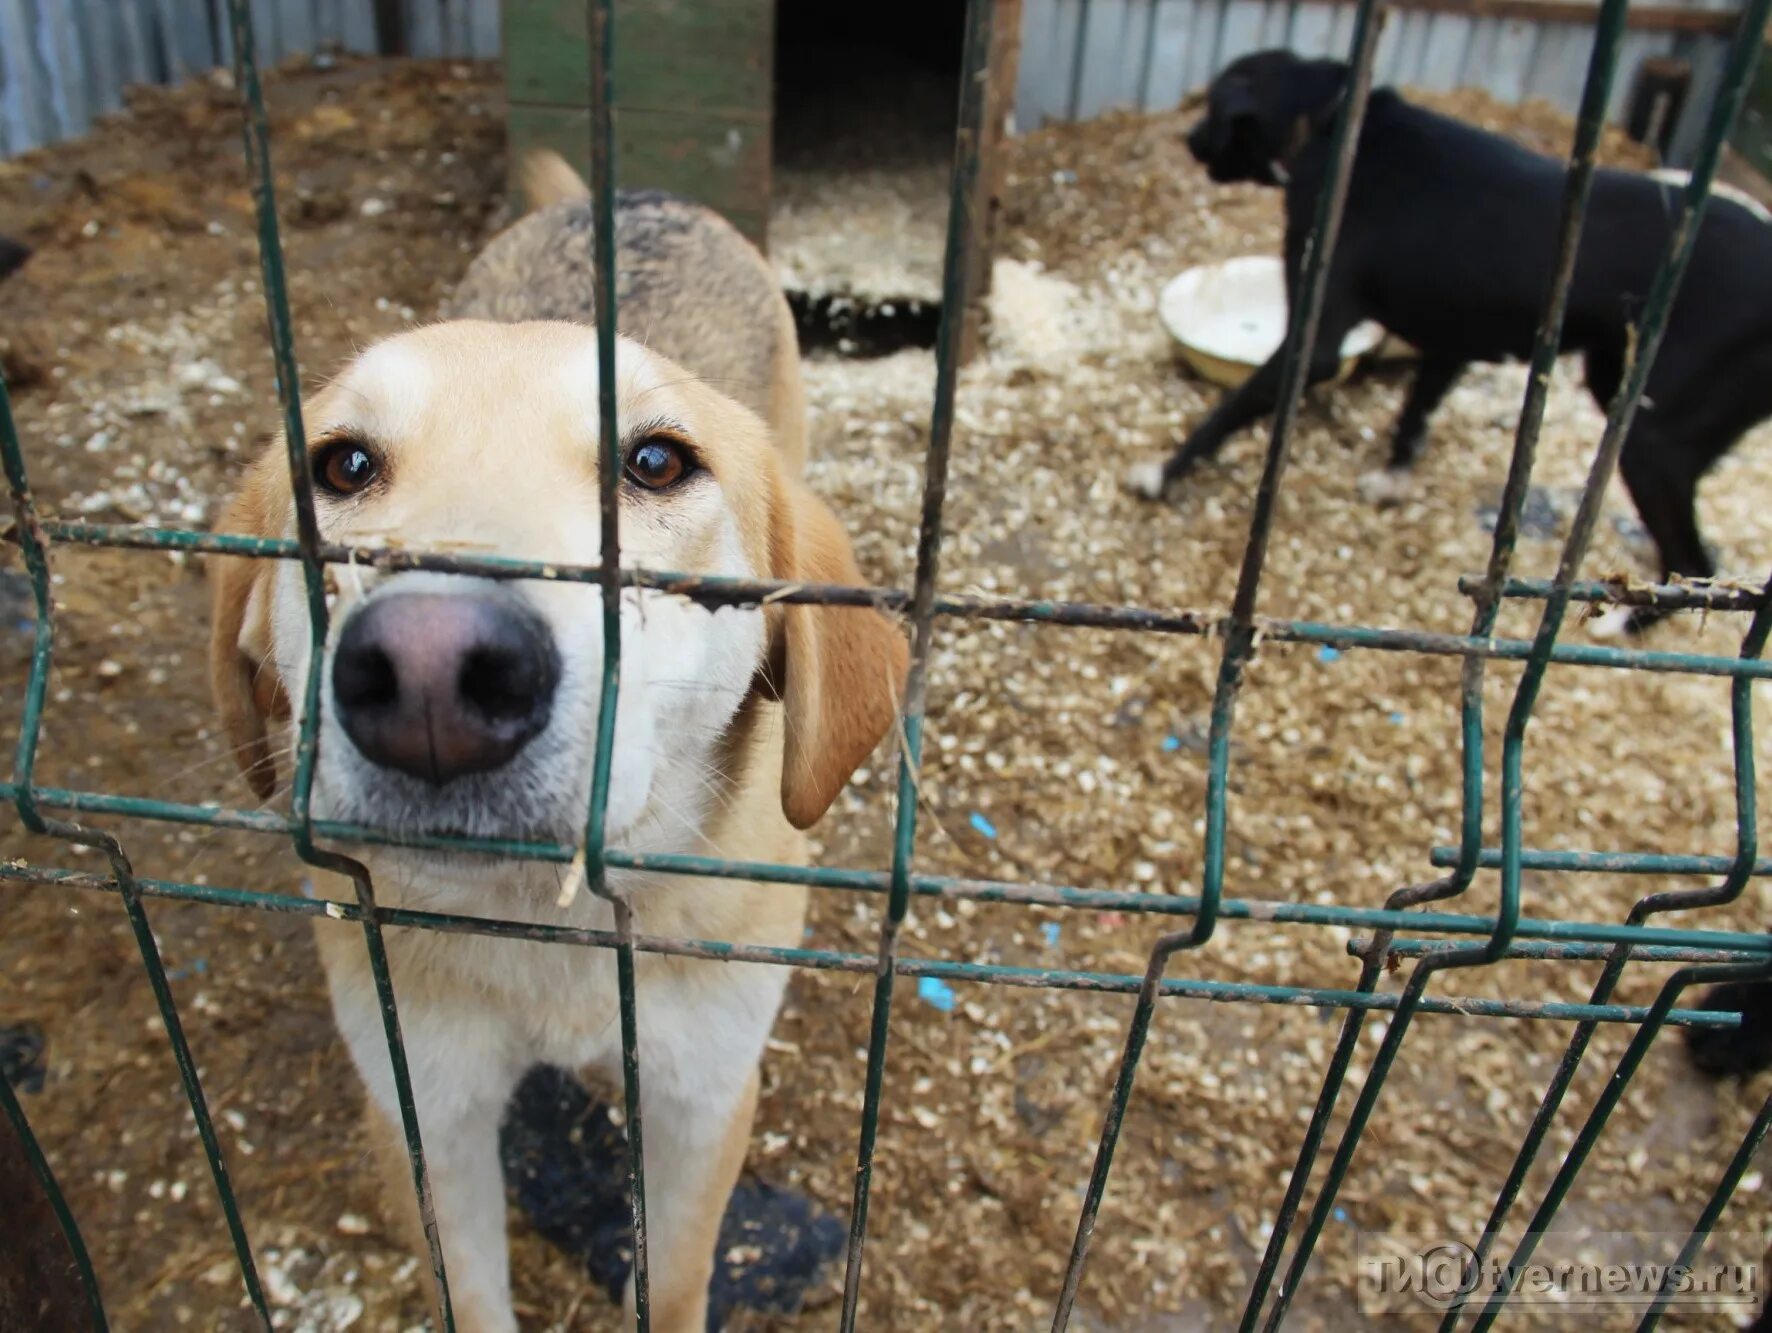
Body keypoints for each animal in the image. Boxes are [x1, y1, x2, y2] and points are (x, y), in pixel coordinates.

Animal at [1126, 50, 1772, 631]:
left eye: (1211, 106)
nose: (1189, 137)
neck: (1333, 119)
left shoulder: (1317, 338)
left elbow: (1228, 409)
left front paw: (1162, 471)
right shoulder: (1451, 340)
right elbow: (1414, 411)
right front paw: (1393, 479)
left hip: (1653, 441)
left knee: (1697, 556)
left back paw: (1626, 625)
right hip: (1619, 382)